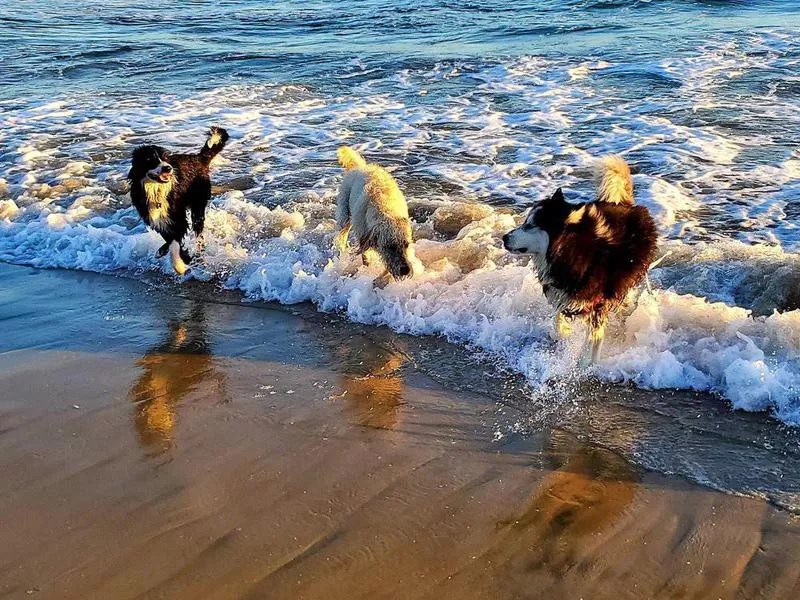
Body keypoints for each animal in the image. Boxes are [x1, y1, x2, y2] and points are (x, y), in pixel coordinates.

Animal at [127, 128, 228, 276]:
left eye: (165, 158)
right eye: (149, 160)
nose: (168, 168)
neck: (156, 190)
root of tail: (198, 158)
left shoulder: (177, 218)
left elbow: (175, 244)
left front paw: (181, 265)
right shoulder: (159, 219)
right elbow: (170, 239)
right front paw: (178, 256)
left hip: (198, 205)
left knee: (199, 234)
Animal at [334, 145, 418, 286]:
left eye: (406, 244)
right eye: (390, 246)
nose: (405, 270)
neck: (385, 208)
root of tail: (360, 166)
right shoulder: (364, 237)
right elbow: (366, 257)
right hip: (344, 215)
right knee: (342, 234)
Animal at [506, 155, 656, 360]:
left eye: (530, 225)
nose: (504, 238)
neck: (569, 252)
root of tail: (624, 204)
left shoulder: (597, 304)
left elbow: (591, 343)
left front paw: (585, 364)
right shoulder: (564, 296)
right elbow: (558, 323)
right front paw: (564, 335)